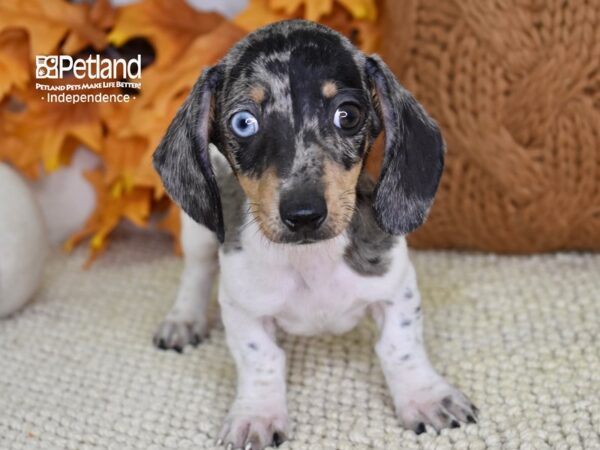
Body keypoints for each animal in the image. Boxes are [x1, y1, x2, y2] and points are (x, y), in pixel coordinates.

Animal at [154, 19, 478, 448]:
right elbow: (261, 359)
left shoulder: (396, 286)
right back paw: (184, 319)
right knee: (196, 271)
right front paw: (256, 415)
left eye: (348, 115)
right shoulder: (241, 308)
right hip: (198, 231)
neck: (311, 261)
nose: (303, 214)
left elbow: (400, 346)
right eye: (243, 122)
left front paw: (426, 397)